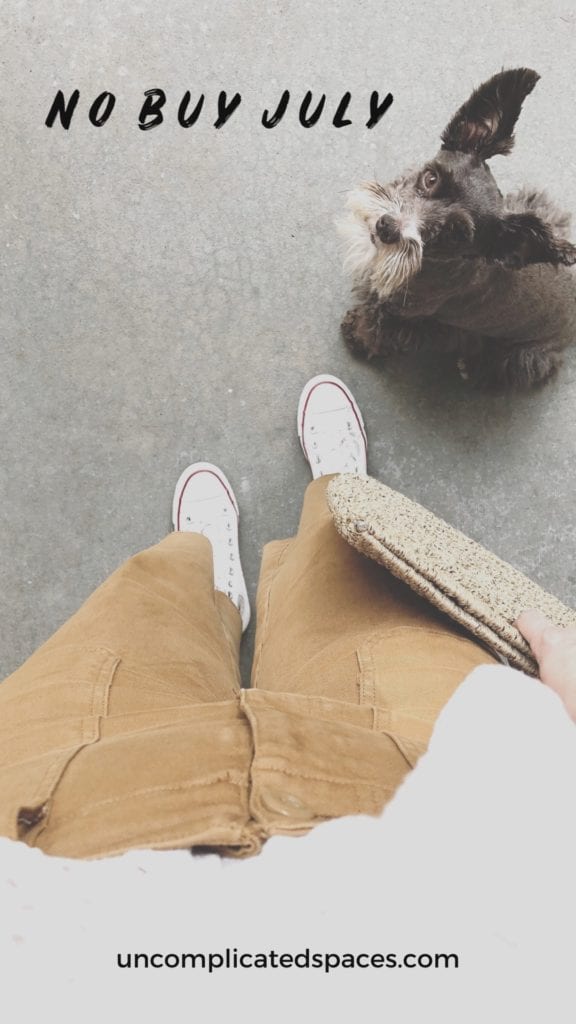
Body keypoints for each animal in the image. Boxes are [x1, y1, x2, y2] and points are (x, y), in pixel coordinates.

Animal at [336, 68, 573, 387]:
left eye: (453, 234)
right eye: (431, 178)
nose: (387, 227)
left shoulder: (402, 315)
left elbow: (377, 328)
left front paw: (358, 335)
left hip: (520, 356)